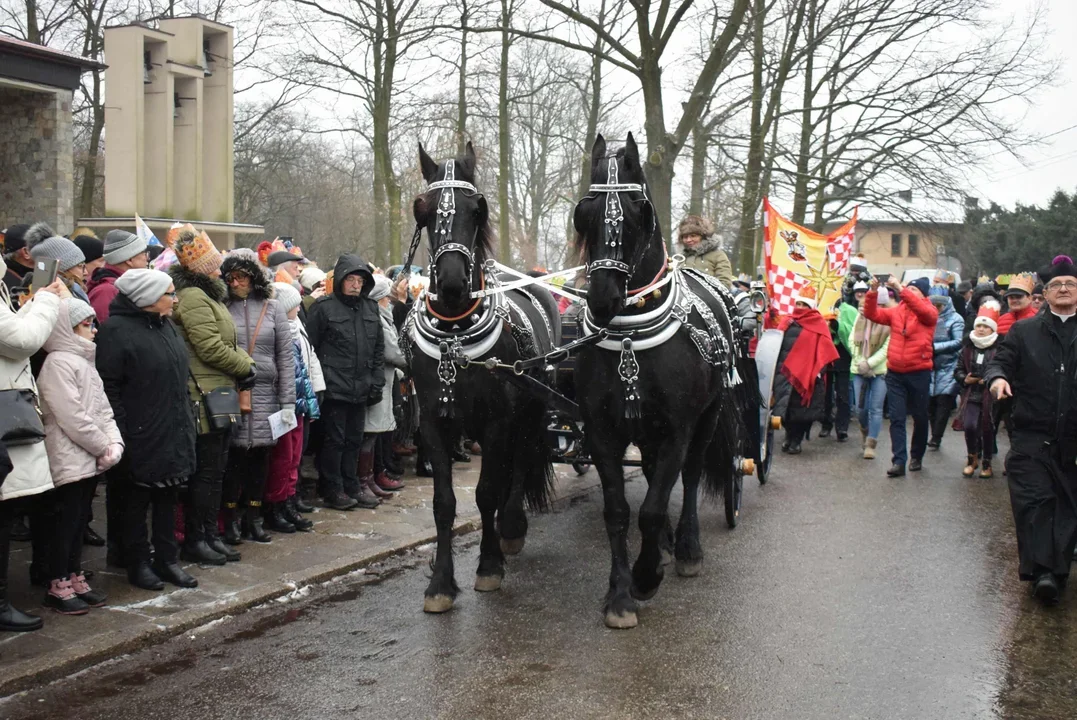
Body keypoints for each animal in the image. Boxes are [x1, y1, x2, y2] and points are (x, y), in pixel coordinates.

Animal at [402, 142, 560, 611]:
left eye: (478, 209)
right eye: (424, 210)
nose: (453, 283)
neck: (455, 332)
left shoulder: (496, 421)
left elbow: (486, 492)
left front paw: (489, 566)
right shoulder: (433, 422)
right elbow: (444, 503)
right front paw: (440, 583)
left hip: (531, 410)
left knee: (522, 460)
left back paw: (511, 527)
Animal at [572, 134, 749, 628]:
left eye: (638, 212)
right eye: (584, 212)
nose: (603, 299)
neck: (630, 336)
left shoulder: (678, 428)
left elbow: (652, 508)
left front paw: (646, 577)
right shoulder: (603, 431)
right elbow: (618, 510)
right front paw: (619, 594)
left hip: (706, 418)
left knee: (687, 478)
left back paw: (685, 548)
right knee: (654, 474)